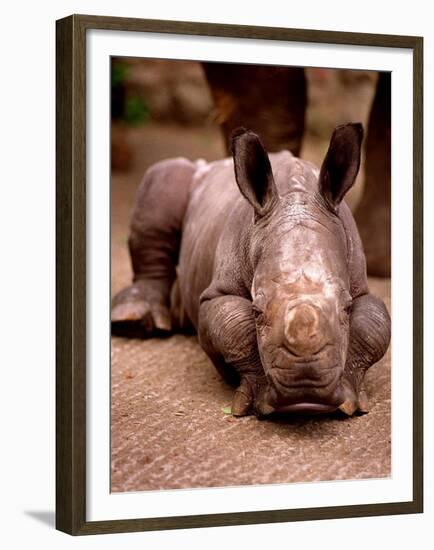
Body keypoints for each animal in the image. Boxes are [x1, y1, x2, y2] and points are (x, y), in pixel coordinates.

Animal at [112, 125, 390, 418]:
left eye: (346, 308)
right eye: (256, 310)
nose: (306, 396)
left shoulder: (360, 284)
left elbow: (373, 327)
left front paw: (349, 399)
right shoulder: (218, 293)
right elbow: (235, 329)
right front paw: (259, 400)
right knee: (166, 176)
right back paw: (133, 322)